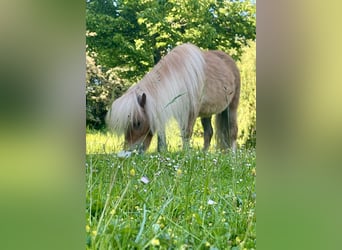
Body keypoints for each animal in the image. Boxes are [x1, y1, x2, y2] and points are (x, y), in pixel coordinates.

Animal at [106, 42, 240, 151]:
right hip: (206, 113)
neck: (180, 78)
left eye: (138, 123)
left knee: (232, 132)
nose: (130, 151)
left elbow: (186, 134)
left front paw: (186, 155)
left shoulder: (190, 113)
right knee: (209, 133)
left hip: (232, 107)